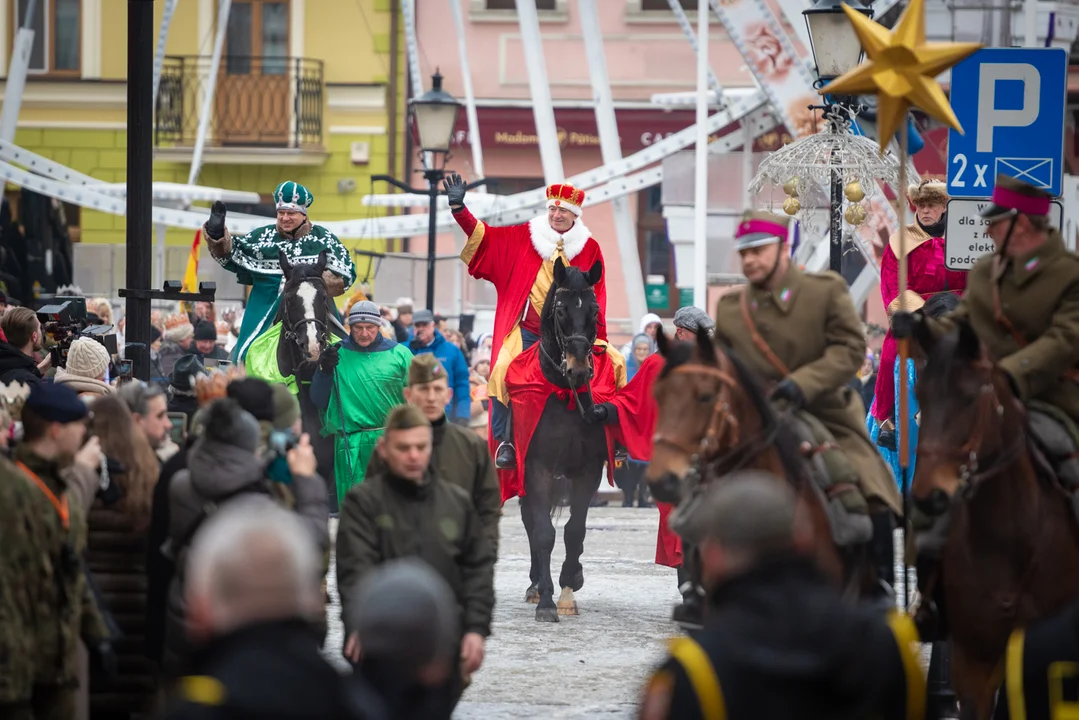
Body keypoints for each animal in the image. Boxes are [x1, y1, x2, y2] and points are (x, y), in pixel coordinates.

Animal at [520, 259, 612, 626]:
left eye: (594, 310)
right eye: (560, 310)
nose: (579, 370)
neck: (564, 396)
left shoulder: (588, 471)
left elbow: (575, 530)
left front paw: (569, 586)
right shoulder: (537, 468)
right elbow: (544, 533)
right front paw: (546, 599)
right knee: (531, 522)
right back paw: (535, 586)